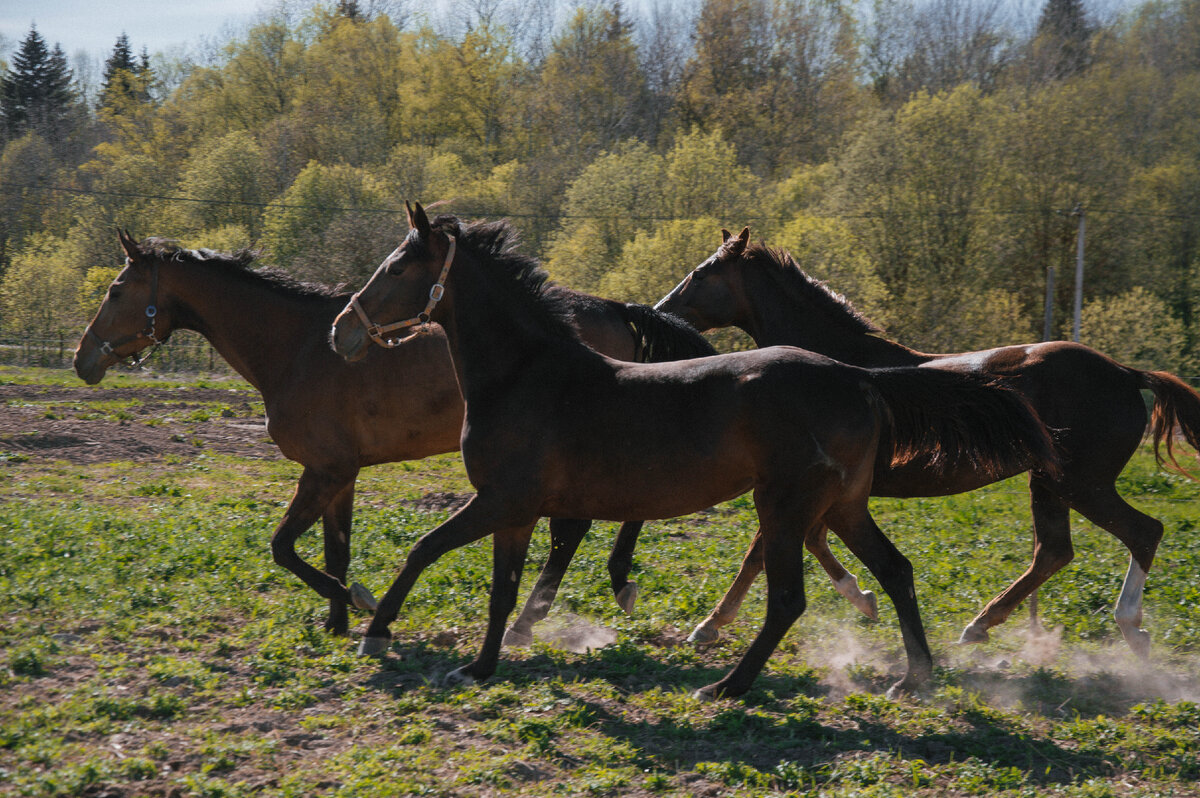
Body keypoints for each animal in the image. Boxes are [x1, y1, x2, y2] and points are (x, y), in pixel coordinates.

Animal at [77, 229, 720, 633]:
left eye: (115, 290)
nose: (83, 359)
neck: (300, 347)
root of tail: (615, 307)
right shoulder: (341, 475)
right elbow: (334, 549)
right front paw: (337, 622)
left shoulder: (325, 470)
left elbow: (285, 547)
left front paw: (361, 605)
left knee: (579, 527)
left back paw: (551, 610)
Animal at [331, 204, 1060, 696]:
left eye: (397, 266)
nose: (342, 332)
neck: (525, 374)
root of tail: (857, 376)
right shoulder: (514, 510)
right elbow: (502, 591)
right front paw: (481, 665)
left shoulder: (500, 499)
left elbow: (424, 549)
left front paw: (376, 632)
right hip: (843, 506)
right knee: (896, 571)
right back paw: (914, 676)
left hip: (786, 506)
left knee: (789, 599)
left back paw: (729, 684)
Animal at [657, 225, 1200, 652]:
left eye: (701, 273)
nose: (664, 311)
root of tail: (1126, 374)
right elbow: (809, 540)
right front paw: (864, 597)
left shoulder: (802, 482)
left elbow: (762, 548)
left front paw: (710, 624)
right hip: (1048, 481)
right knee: (1054, 551)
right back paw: (980, 625)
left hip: (1082, 482)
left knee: (1142, 532)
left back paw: (1130, 626)